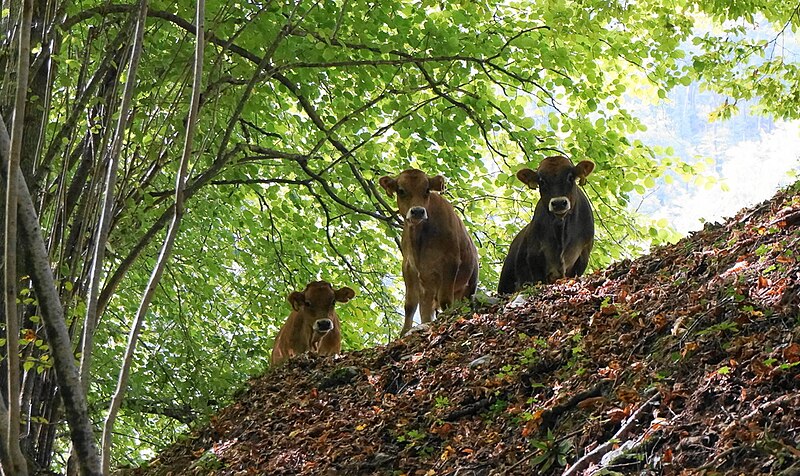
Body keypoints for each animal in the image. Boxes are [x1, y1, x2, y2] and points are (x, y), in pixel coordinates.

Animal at [378, 169, 478, 336]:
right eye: (401, 190)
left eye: (427, 190)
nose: (418, 211)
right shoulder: (409, 266)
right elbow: (410, 304)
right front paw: (404, 332)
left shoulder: (450, 261)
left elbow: (446, 300)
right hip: (428, 283)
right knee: (426, 308)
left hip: (468, 285)